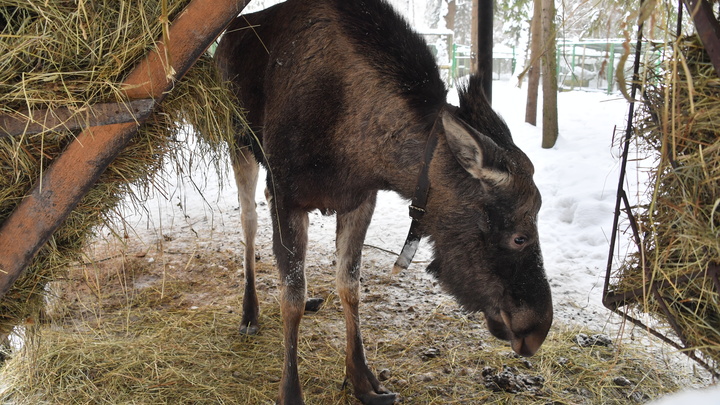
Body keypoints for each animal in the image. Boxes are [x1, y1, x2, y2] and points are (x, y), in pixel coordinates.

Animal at [214, 0, 552, 404]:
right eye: (519, 235)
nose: (538, 328)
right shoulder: (288, 196)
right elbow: (291, 297)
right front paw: (291, 391)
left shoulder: (359, 199)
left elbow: (349, 285)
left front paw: (362, 379)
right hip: (238, 142)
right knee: (248, 221)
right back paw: (249, 313)